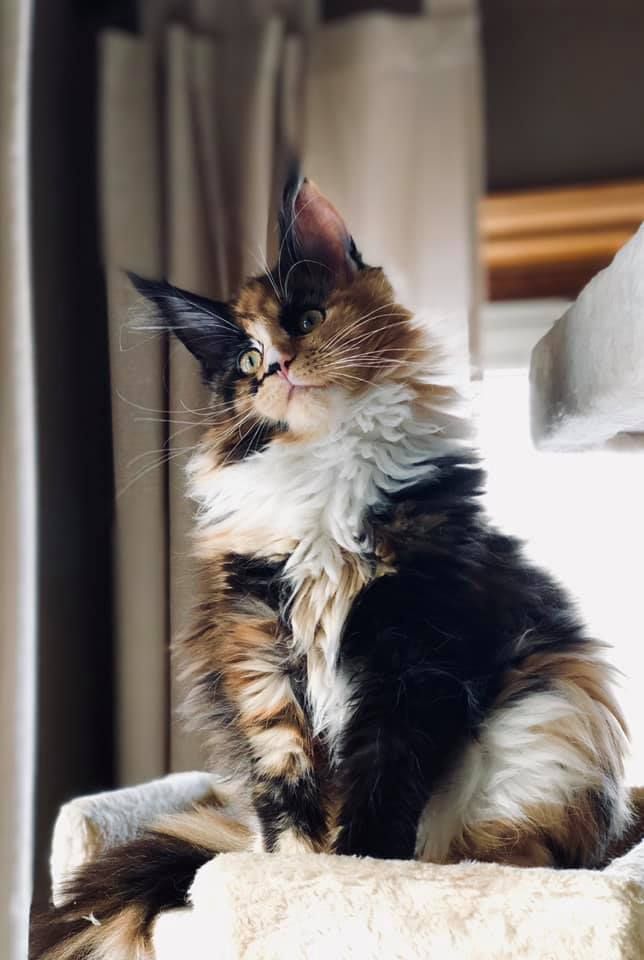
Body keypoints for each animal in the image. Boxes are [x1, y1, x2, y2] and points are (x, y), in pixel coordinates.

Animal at [30, 174, 628, 960]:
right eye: (247, 361)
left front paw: (357, 877)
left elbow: (383, 788)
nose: (280, 367)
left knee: (503, 851)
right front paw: (297, 880)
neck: (326, 481)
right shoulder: (259, 655)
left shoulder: (414, 656)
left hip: (541, 735)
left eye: (308, 319)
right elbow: (289, 792)